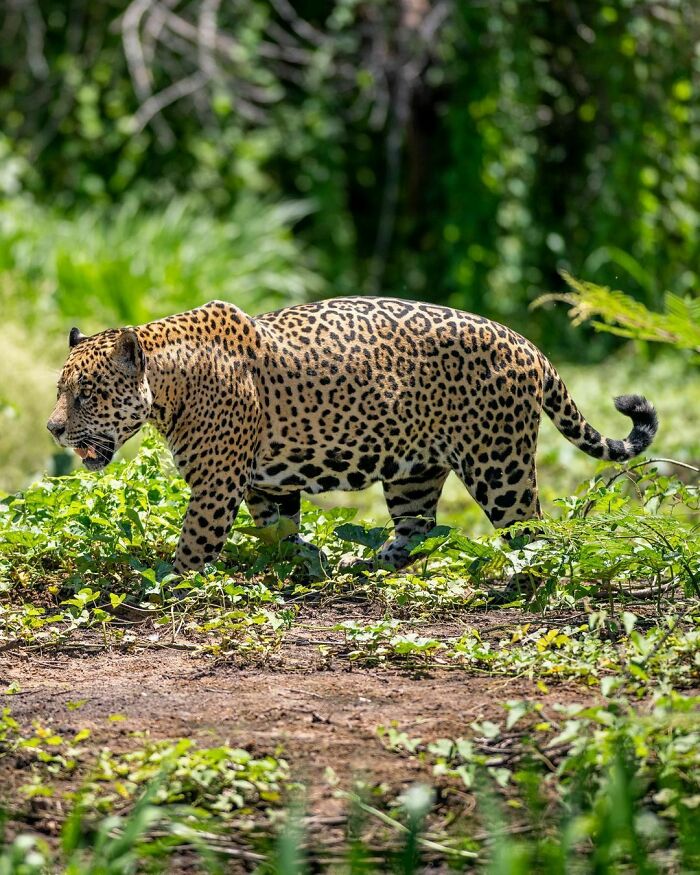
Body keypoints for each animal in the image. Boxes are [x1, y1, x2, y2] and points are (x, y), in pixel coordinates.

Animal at [47, 297, 658, 574]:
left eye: (86, 393)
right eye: (61, 389)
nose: (53, 428)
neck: (170, 381)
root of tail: (529, 346)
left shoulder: (218, 484)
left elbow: (196, 541)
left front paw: (172, 578)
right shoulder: (266, 483)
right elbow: (278, 529)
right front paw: (299, 561)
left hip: (498, 464)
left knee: (532, 529)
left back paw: (520, 577)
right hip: (414, 468)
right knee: (418, 525)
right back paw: (367, 564)